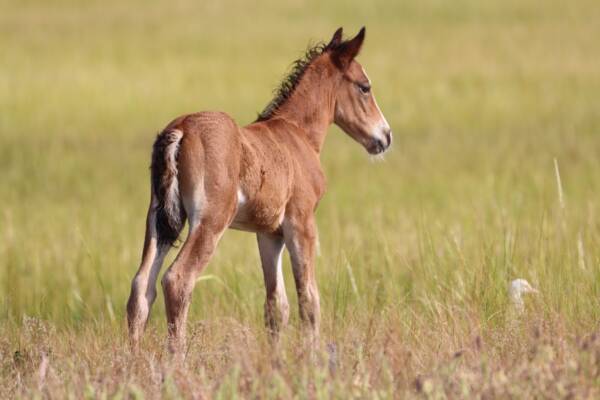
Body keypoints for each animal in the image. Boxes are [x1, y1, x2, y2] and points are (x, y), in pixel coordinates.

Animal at [124, 27, 392, 354]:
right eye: (365, 87)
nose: (385, 136)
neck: (298, 134)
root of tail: (182, 128)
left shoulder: (269, 233)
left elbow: (276, 306)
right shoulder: (301, 222)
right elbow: (309, 299)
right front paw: (313, 358)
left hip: (160, 219)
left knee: (141, 287)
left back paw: (135, 360)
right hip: (210, 221)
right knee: (177, 280)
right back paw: (177, 358)